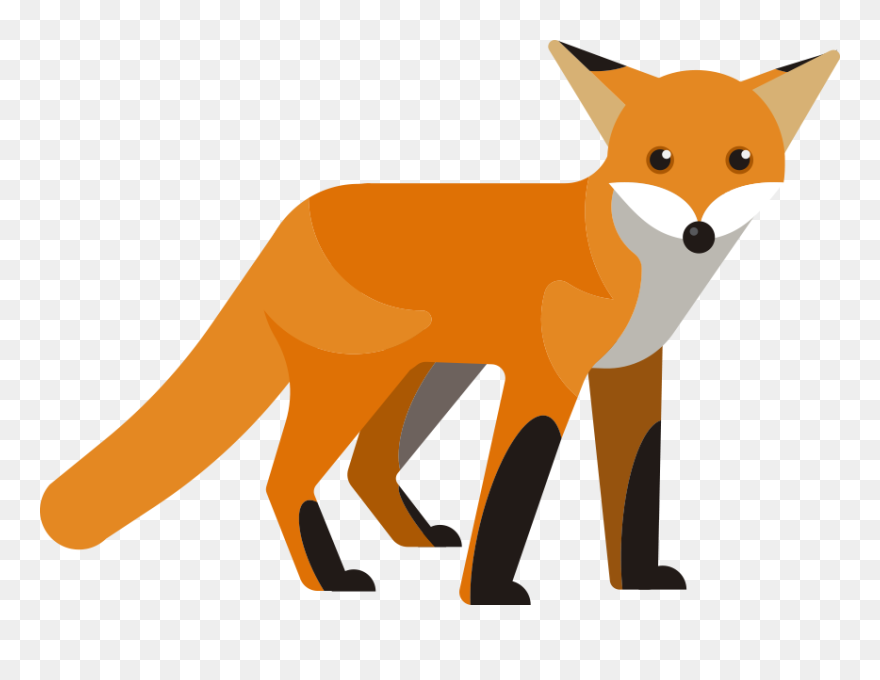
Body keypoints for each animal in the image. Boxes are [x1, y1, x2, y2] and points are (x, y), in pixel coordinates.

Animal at [40, 42, 840, 604]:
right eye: (660, 159)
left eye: (741, 159)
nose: (699, 233)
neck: (642, 272)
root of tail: (291, 222)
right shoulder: (545, 377)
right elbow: (514, 487)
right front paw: (488, 595)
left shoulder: (631, 376)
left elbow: (637, 488)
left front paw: (636, 582)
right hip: (359, 382)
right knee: (286, 478)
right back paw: (332, 579)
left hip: (426, 377)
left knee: (365, 467)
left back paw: (416, 539)